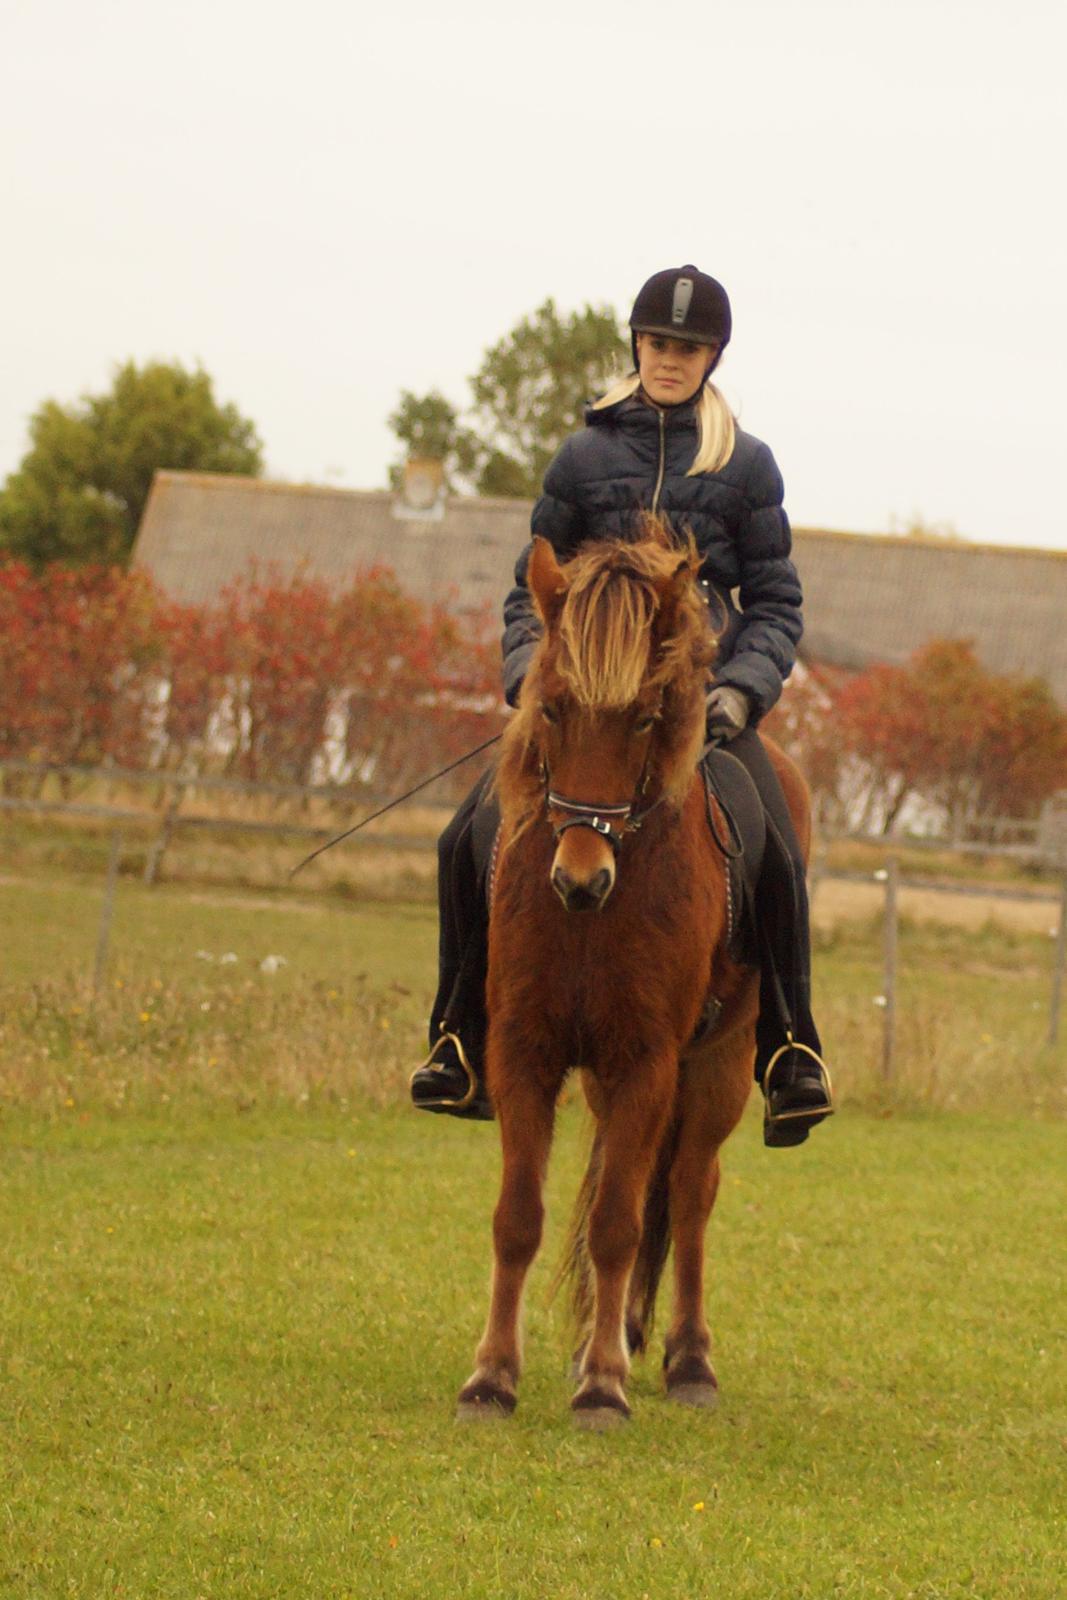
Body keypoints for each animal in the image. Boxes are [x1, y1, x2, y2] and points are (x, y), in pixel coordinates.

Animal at [456, 523, 812, 1428]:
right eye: (551, 706)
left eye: (647, 718)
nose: (581, 880)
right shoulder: (525, 1052)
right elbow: (518, 1218)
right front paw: (491, 1376)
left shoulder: (647, 1061)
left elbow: (619, 1221)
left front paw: (603, 1387)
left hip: (716, 1063)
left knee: (687, 1194)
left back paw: (686, 1362)